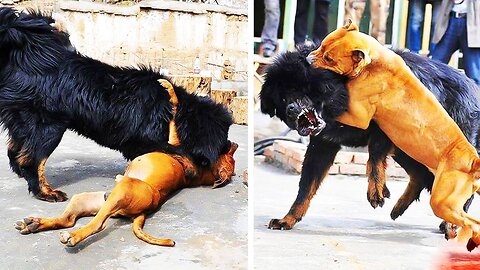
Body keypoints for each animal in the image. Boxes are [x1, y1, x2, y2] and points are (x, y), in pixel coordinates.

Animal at [0, 8, 232, 201]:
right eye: (223, 139)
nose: (230, 145)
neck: (173, 108)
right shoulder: (143, 139)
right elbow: (180, 150)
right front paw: (191, 168)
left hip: (24, 122)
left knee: (15, 152)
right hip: (48, 127)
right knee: (32, 160)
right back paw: (45, 192)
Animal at [14, 79, 239, 247]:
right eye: (230, 156)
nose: (231, 143)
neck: (205, 172)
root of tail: (144, 211)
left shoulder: (173, 141)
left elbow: (174, 112)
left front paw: (169, 89)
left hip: (121, 191)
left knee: (97, 224)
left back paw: (73, 236)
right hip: (86, 199)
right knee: (68, 219)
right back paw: (34, 224)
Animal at [260, 47, 480, 234]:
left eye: (298, 89)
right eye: (282, 99)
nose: (291, 110)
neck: (342, 89)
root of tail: (473, 87)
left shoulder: (385, 127)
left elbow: (374, 156)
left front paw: (376, 191)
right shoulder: (323, 144)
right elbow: (305, 187)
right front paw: (288, 219)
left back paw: (451, 224)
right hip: (411, 147)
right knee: (419, 175)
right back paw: (399, 208)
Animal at [308, 21, 480, 251]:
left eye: (329, 59)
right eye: (322, 45)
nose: (308, 59)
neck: (375, 62)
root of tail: (472, 161)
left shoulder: (360, 116)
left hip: (443, 201)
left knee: (470, 220)